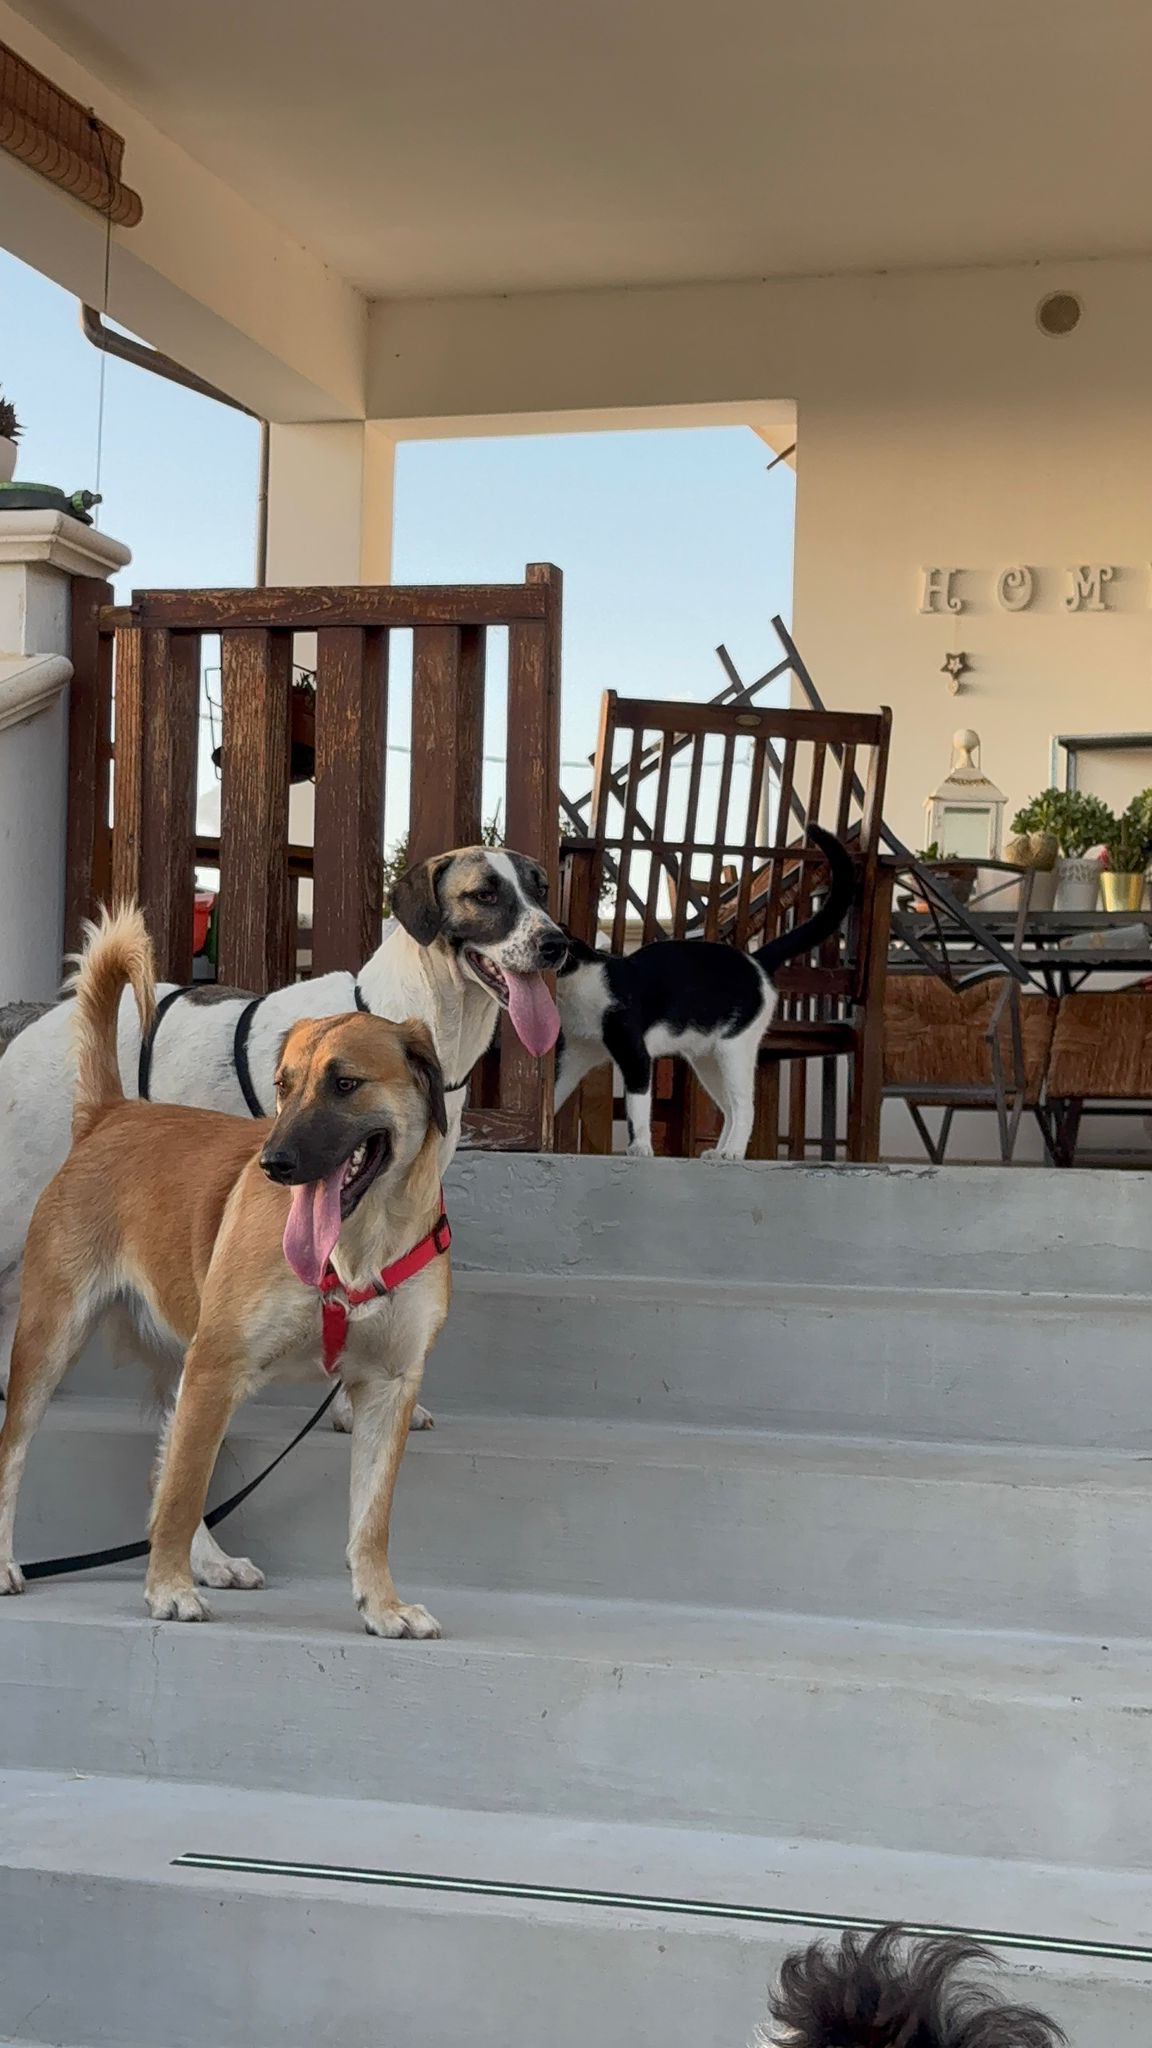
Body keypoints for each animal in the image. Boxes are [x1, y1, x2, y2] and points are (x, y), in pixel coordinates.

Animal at [0, 906, 453, 1637]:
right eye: (283, 1087)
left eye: (345, 1084)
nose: (273, 1163)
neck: (361, 1247)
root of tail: (109, 1114)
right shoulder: (219, 1365)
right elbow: (186, 1489)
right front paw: (166, 1590)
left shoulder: (388, 1388)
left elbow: (370, 1522)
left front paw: (382, 1605)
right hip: (56, 1343)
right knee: (24, 1455)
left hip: (182, 1367)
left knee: (168, 1469)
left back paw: (207, 1561)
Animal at [555, 825, 855, 1159]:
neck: (577, 987)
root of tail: (755, 959)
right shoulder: (574, 1054)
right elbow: (553, 1093)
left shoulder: (635, 1054)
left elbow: (639, 1107)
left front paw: (642, 1147)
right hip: (707, 1061)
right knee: (728, 1108)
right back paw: (718, 1152)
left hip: (733, 1048)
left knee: (744, 1107)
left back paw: (733, 1152)